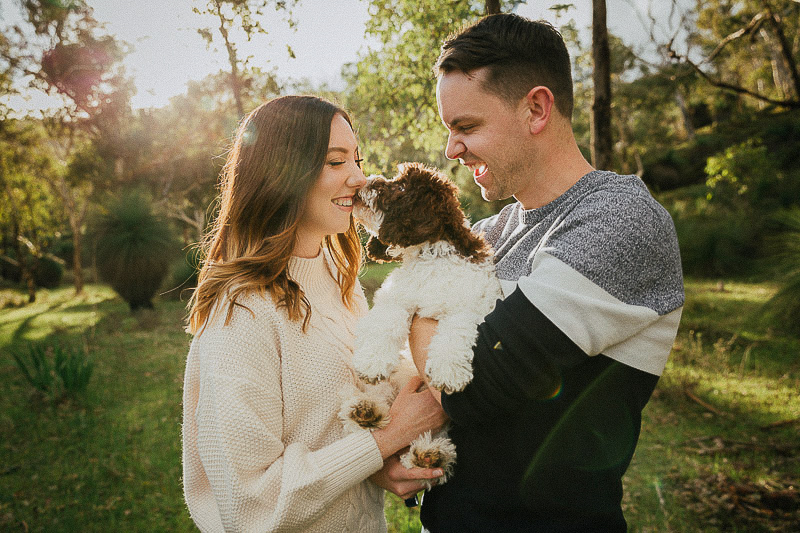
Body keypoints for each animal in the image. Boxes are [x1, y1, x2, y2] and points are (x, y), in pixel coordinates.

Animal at [338, 163, 500, 486]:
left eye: (400, 188)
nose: (365, 182)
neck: (430, 257)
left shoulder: (470, 304)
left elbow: (455, 332)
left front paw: (449, 372)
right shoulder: (397, 295)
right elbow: (384, 323)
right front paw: (373, 362)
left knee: (435, 450)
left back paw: (430, 453)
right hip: (393, 383)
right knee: (378, 408)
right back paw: (364, 411)